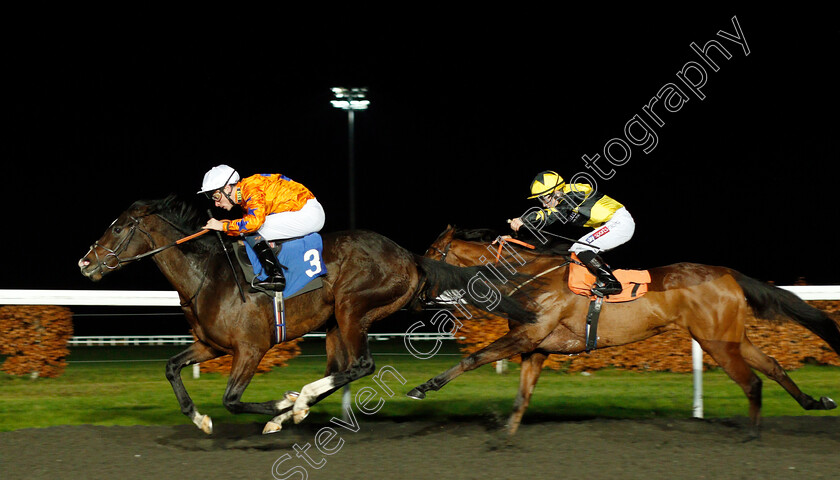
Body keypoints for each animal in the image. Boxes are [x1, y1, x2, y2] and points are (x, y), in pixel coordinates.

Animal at [77, 199, 532, 436]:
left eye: (118, 228)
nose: (85, 263)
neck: (207, 275)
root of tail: (408, 256)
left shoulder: (251, 348)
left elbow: (233, 400)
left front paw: (279, 404)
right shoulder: (211, 345)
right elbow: (171, 368)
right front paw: (202, 420)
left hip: (352, 307)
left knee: (361, 365)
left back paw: (296, 404)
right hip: (334, 323)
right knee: (340, 369)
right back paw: (298, 406)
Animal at [406, 225, 840, 436]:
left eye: (430, 253)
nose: (417, 293)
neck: (529, 276)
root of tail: (727, 272)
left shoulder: (527, 336)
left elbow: (474, 358)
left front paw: (424, 387)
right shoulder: (536, 348)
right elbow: (522, 397)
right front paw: (506, 435)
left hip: (716, 342)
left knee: (752, 382)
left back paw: (751, 436)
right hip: (730, 338)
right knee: (773, 367)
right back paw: (814, 403)